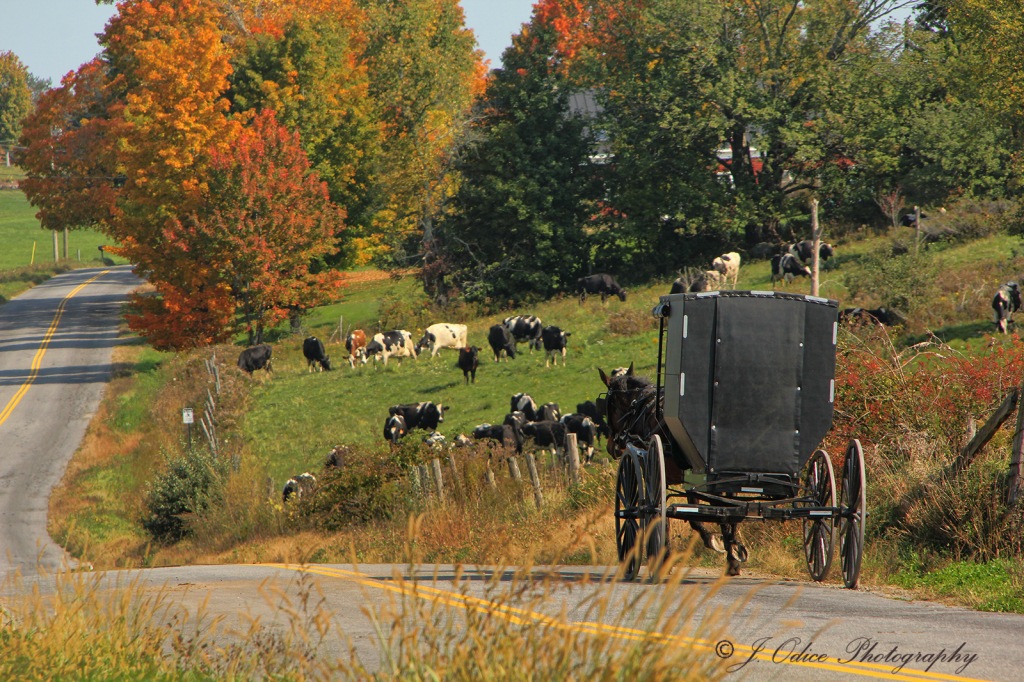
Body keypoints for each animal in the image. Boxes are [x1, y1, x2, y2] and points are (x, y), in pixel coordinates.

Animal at [598, 360, 745, 573]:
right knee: (729, 506)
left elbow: (663, 515)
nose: (611, 446)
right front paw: (715, 540)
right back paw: (732, 553)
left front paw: (664, 557)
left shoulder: (657, 473)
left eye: (608, 405)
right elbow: (693, 513)